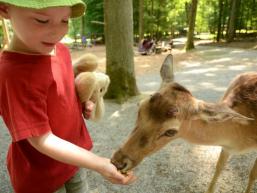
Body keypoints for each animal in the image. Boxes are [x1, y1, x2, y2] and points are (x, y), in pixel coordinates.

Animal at [111, 54, 256, 193]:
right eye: (140, 107)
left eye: (171, 131)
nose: (118, 163)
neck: (238, 140)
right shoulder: (226, 148)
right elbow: (219, 167)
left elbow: (252, 174)